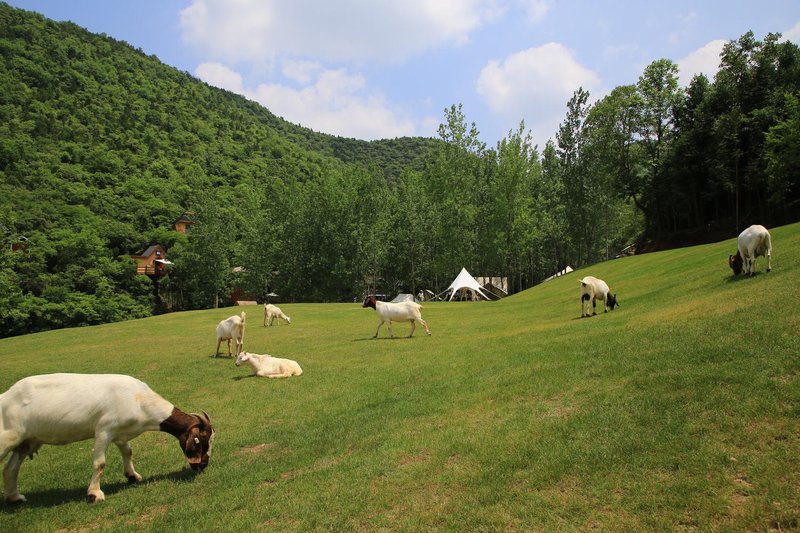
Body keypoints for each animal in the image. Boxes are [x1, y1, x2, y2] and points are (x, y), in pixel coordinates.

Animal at [0, 372, 216, 500]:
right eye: (203, 441)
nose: (203, 465)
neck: (139, 401)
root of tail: (5, 396)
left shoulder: (120, 434)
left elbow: (128, 451)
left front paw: (132, 476)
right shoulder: (104, 430)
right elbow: (100, 463)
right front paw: (94, 494)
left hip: (27, 441)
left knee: (10, 468)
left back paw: (15, 497)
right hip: (8, 435)